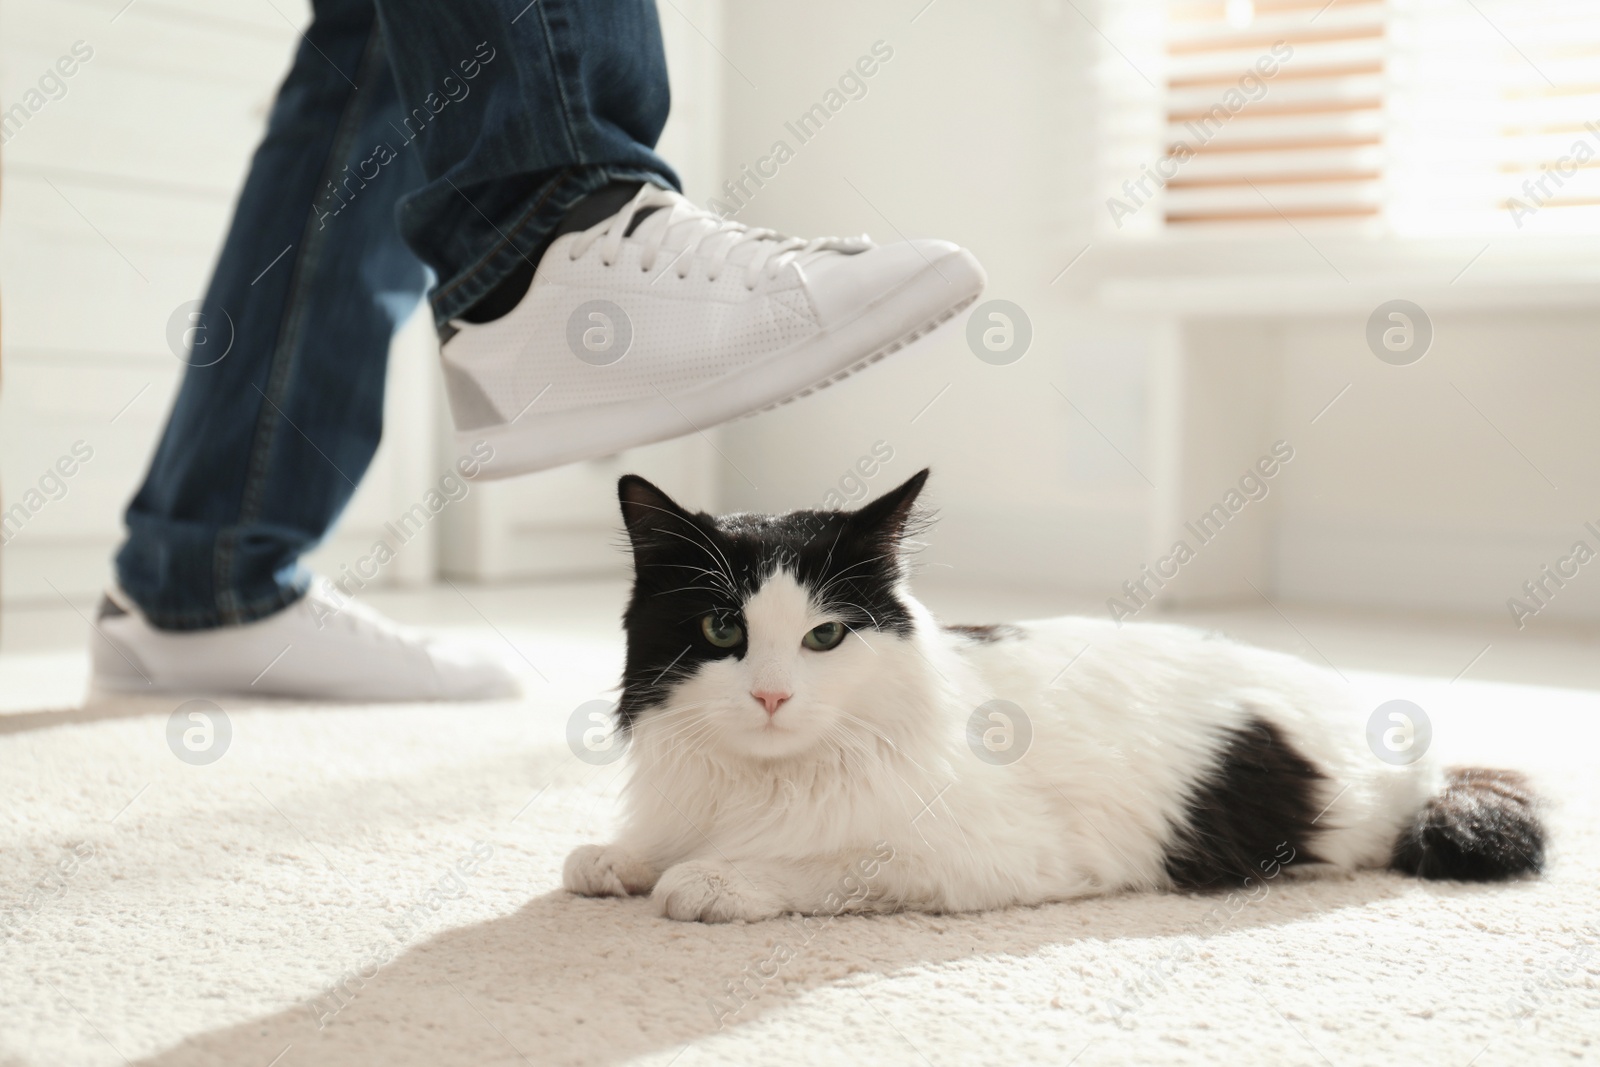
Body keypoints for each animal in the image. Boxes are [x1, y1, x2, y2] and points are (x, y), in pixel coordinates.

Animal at [566, 470, 1548, 921]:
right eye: (721, 631)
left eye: (825, 636)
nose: (770, 696)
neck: (761, 781)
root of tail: (1420, 754)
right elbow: (630, 850)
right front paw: (619, 857)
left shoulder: (976, 859)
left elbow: (820, 864)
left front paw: (714, 878)